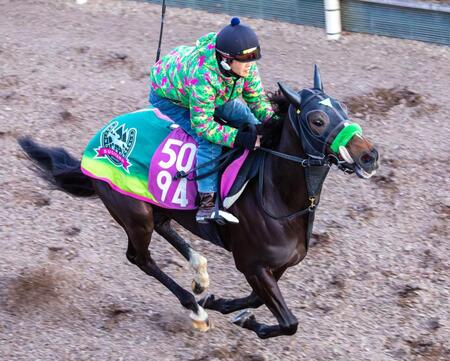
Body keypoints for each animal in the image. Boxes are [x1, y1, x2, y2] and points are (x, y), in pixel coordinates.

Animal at [17, 65, 378, 338]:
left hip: (155, 205)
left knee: (165, 228)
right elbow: (289, 322)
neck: (279, 201)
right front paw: (241, 319)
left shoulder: (278, 264)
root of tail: (96, 144)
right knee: (140, 258)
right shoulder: (251, 264)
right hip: (133, 213)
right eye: (317, 120)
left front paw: (227, 306)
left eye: (344, 109)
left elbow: (255, 300)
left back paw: (200, 273)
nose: (369, 156)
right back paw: (194, 308)